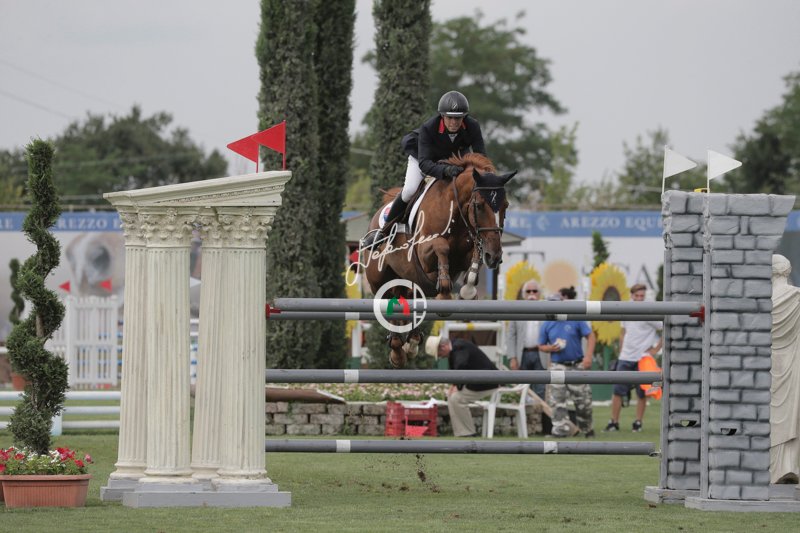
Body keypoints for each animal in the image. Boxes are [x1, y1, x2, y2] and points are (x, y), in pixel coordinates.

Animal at [357, 153, 516, 367]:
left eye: (505, 206)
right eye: (479, 206)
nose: (495, 257)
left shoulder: (467, 251)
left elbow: (475, 253)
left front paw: (468, 290)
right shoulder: (425, 254)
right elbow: (442, 246)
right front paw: (445, 292)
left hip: (410, 282)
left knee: (409, 302)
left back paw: (412, 343)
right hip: (379, 280)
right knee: (388, 305)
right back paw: (398, 351)